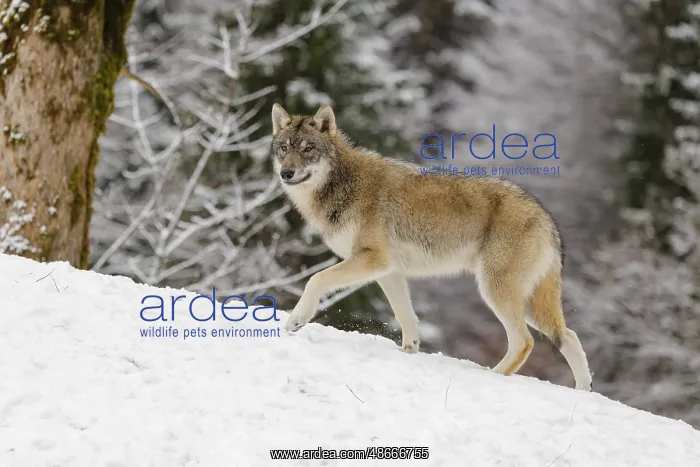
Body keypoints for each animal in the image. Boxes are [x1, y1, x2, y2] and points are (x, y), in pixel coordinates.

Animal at [270, 103, 592, 391]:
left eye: (308, 149)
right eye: (284, 148)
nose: (286, 173)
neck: (343, 184)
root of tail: (546, 217)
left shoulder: (372, 260)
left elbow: (316, 279)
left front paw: (295, 321)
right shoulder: (389, 271)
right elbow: (406, 317)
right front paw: (408, 353)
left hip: (496, 291)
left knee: (524, 341)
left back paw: (493, 375)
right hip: (527, 303)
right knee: (570, 336)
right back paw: (583, 390)